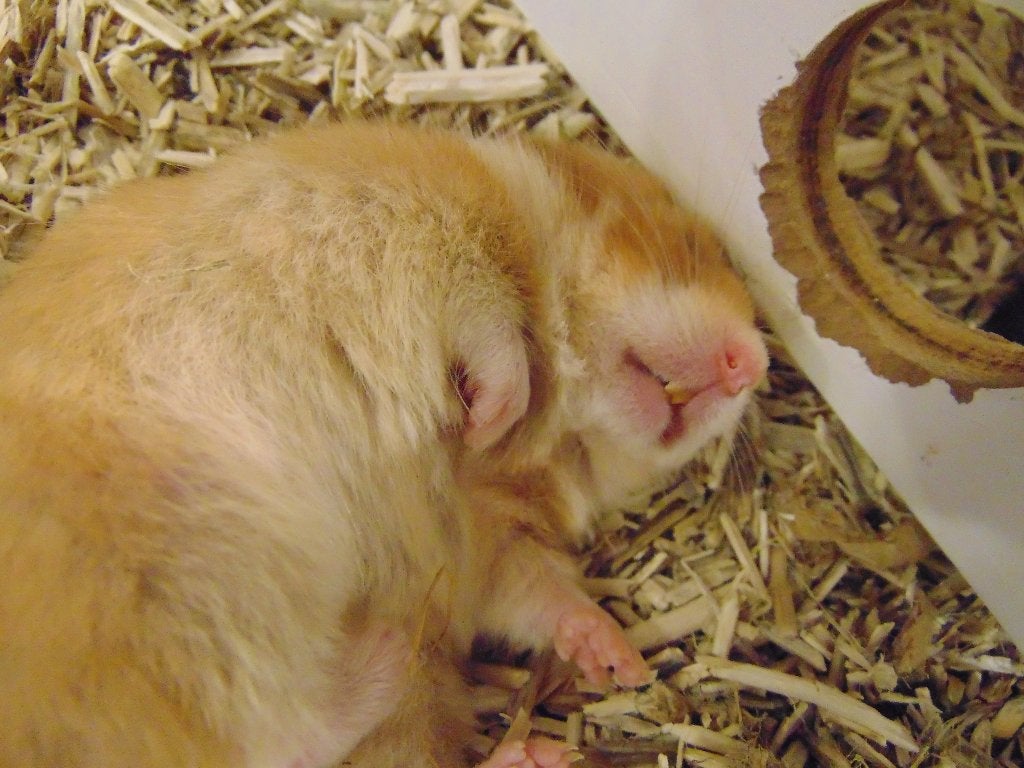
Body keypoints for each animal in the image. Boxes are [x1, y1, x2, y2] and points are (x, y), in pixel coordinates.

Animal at [0, 121, 768, 768]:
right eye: (692, 245)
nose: (753, 364)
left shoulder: (490, 545)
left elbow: (542, 595)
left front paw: (617, 660)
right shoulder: (424, 233)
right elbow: (496, 336)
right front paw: (484, 415)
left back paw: (525, 746)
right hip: (188, 570)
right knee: (276, 724)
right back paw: (387, 649)